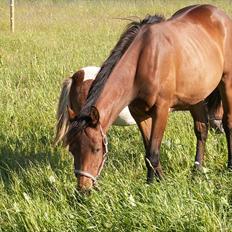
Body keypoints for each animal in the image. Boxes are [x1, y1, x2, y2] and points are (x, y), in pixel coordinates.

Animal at [63, 4, 232, 191]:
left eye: (96, 149)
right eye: (72, 149)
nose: (83, 189)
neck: (145, 60)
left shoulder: (161, 111)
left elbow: (153, 152)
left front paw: (158, 184)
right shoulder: (139, 114)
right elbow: (148, 151)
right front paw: (152, 182)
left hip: (226, 82)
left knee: (227, 123)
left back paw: (229, 166)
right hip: (196, 96)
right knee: (202, 130)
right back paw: (197, 170)